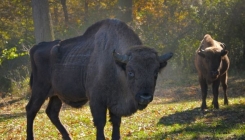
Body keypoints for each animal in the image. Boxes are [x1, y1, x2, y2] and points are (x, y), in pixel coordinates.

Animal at [26, 18, 172, 140]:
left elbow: (116, 124)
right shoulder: (97, 101)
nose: (145, 97)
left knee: (52, 112)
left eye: (155, 72)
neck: (117, 66)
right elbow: (100, 124)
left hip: (56, 94)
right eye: (131, 72)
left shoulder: (115, 103)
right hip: (40, 90)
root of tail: (35, 47)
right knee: (31, 109)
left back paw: (68, 137)